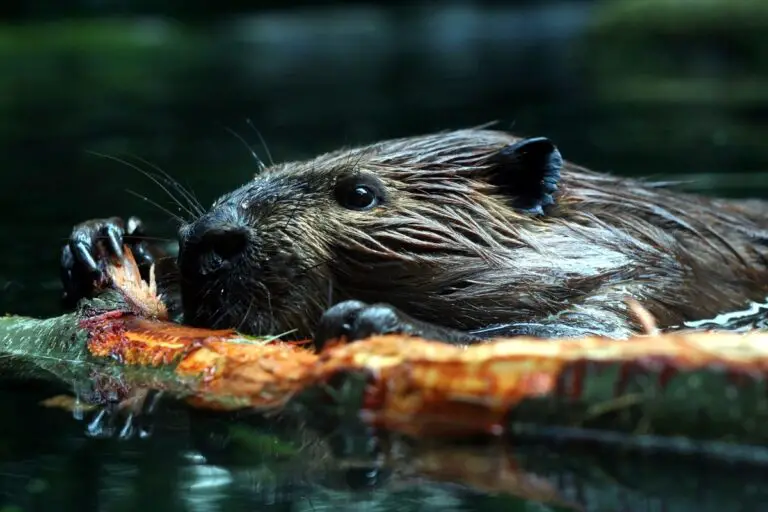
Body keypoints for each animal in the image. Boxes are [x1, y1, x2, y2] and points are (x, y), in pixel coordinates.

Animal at [57, 127, 768, 348]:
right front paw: (103, 243)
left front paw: (372, 319)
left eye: (359, 194)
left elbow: (590, 336)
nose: (209, 238)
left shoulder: (643, 281)